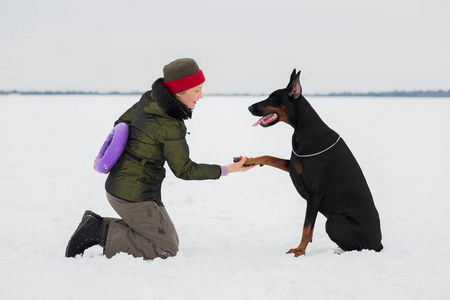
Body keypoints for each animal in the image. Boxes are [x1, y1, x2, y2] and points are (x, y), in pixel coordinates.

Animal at [237, 69, 382, 255]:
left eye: (272, 98)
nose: (249, 107)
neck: (302, 130)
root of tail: (379, 243)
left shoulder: (315, 193)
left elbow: (307, 227)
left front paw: (299, 250)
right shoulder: (293, 165)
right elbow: (269, 157)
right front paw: (246, 161)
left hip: (334, 221)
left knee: (356, 248)